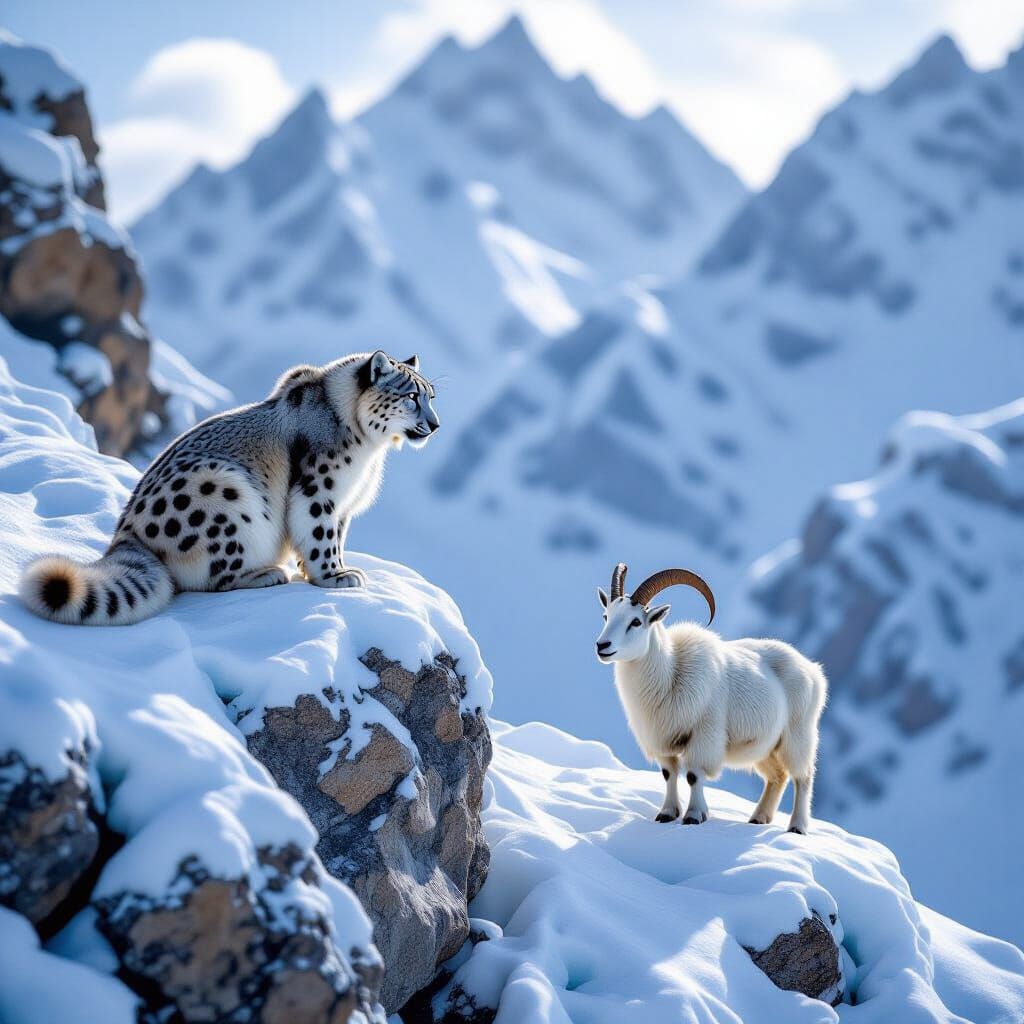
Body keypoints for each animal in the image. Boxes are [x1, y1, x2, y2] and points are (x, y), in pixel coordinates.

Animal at [595, 563, 826, 834]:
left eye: (635, 621)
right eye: (606, 616)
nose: (602, 646)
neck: (671, 672)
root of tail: (813, 671)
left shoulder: (703, 736)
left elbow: (693, 775)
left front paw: (694, 815)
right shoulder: (663, 740)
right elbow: (669, 774)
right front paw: (666, 813)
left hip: (797, 737)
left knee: (803, 776)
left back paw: (797, 827)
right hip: (765, 747)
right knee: (777, 776)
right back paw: (758, 818)